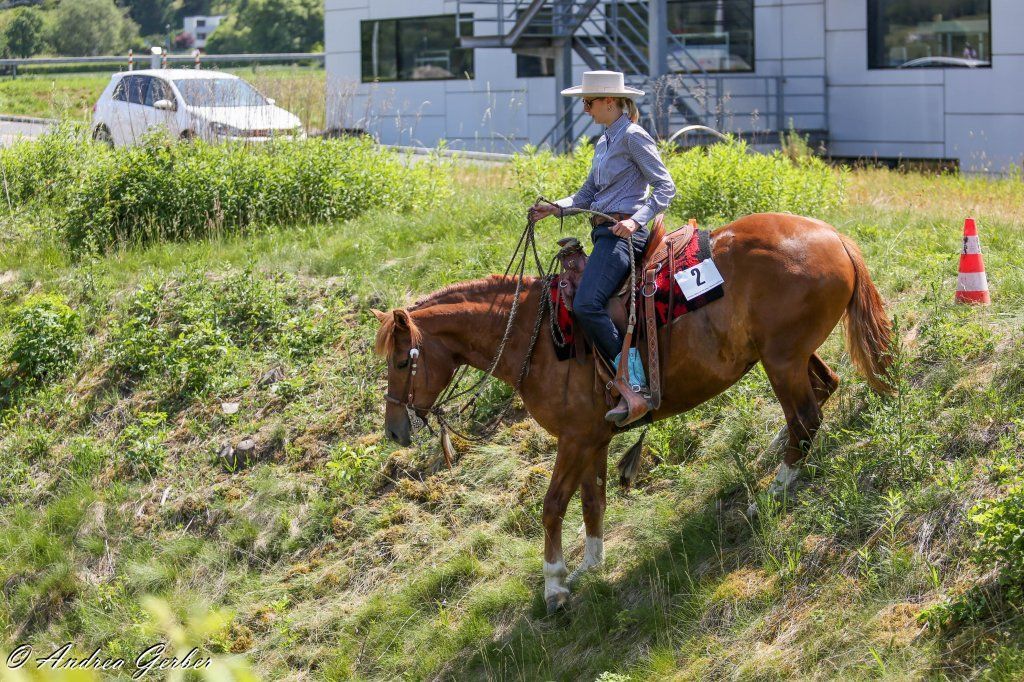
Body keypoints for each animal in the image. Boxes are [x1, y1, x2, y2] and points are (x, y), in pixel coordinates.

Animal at [372, 212, 893, 614]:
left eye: (400, 362)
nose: (394, 430)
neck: (536, 335)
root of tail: (833, 237)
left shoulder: (575, 438)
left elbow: (553, 506)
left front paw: (554, 584)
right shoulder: (595, 437)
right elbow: (592, 500)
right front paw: (591, 564)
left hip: (782, 359)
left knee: (805, 416)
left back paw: (773, 491)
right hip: (790, 355)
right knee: (824, 392)